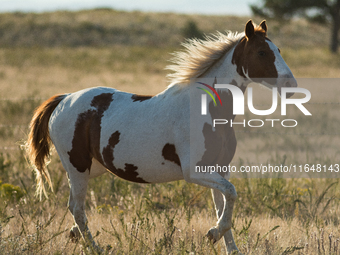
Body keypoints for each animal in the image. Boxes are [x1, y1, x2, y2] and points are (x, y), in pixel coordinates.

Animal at [25, 20, 298, 255]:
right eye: (262, 52)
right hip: (77, 167)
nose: (291, 86)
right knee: (77, 208)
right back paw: (96, 247)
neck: (207, 110)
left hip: (93, 168)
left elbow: (225, 205)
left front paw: (228, 246)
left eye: (278, 50)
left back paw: (75, 236)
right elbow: (230, 196)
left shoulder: (220, 169)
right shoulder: (195, 171)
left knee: (74, 207)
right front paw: (212, 233)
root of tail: (64, 99)